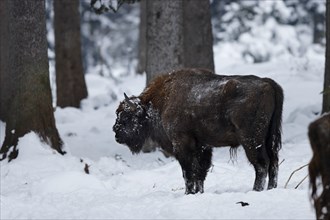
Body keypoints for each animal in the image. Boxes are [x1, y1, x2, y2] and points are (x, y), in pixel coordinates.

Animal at [113, 68, 284, 193]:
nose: (116, 132)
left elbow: (188, 173)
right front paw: (199, 192)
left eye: (126, 117)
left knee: (261, 165)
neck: (160, 102)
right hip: (270, 138)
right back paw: (271, 189)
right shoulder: (202, 146)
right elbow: (200, 172)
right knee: (274, 162)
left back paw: (255, 190)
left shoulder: (182, 144)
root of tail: (268, 83)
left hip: (251, 140)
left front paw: (189, 193)